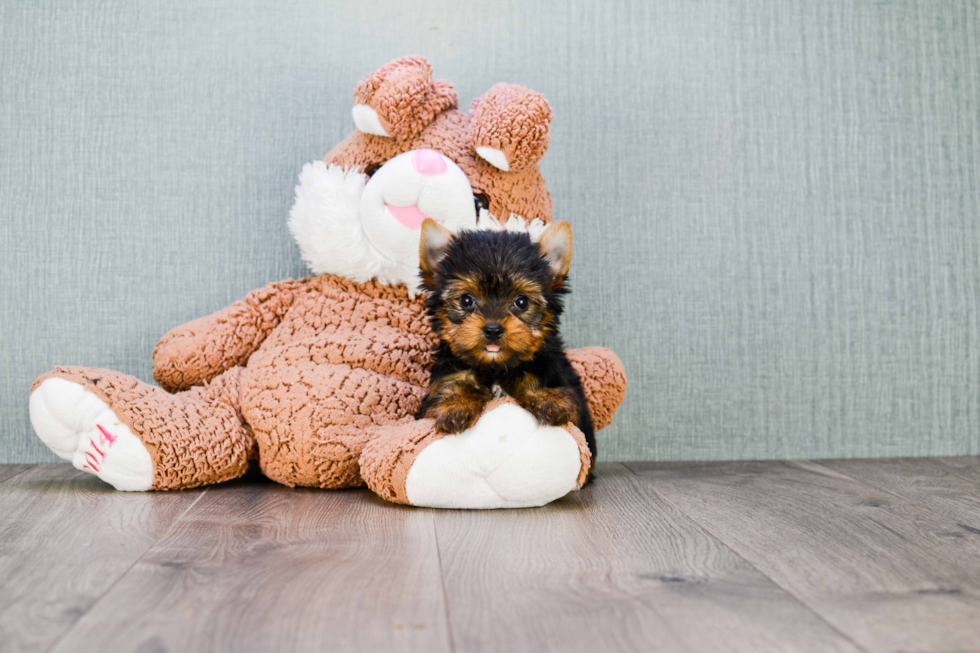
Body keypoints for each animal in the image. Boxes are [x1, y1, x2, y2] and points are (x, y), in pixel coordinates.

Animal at [416, 219, 596, 458]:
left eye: (522, 302)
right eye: (466, 300)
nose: (493, 329)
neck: (496, 369)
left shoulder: (568, 395)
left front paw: (547, 398)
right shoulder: (442, 382)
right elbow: (452, 387)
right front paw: (455, 404)